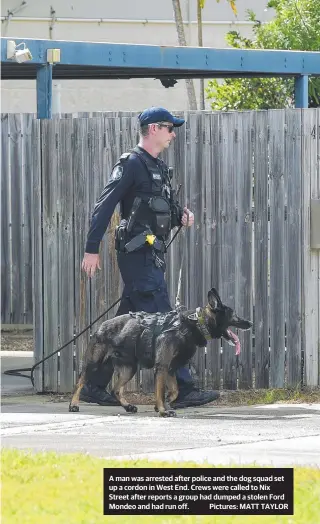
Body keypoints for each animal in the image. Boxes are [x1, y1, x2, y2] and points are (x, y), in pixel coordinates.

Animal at [69, 286, 252, 418]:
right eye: (234, 315)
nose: (250, 323)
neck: (194, 324)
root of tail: (100, 326)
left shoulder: (170, 369)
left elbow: (175, 391)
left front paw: (164, 404)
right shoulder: (162, 367)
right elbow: (160, 391)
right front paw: (164, 410)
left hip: (129, 369)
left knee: (116, 389)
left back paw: (127, 406)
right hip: (94, 363)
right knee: (80, 382)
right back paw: (74, 404)